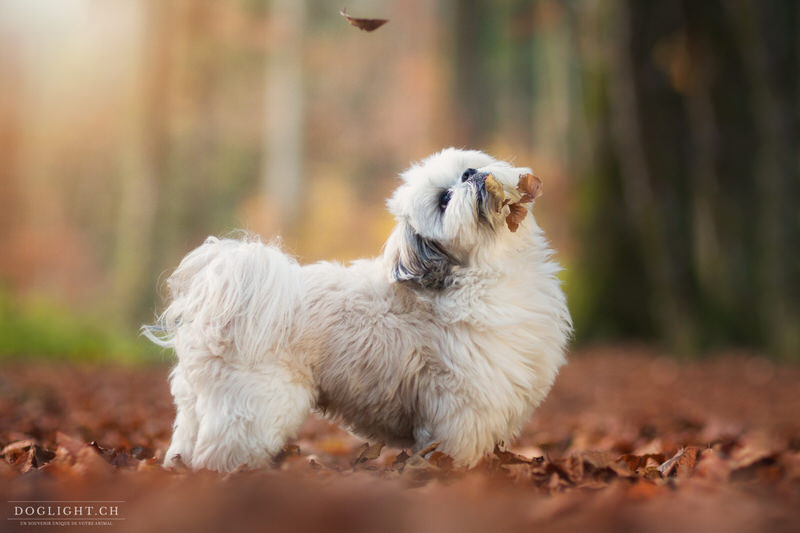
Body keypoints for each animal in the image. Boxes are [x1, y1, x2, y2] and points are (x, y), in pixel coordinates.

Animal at [144, 149, 568, 470]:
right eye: (444, 201)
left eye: (467, 165)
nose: (469, 175)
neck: (481, 271)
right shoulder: (461, 414)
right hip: (254, 408)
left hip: (197, 407)